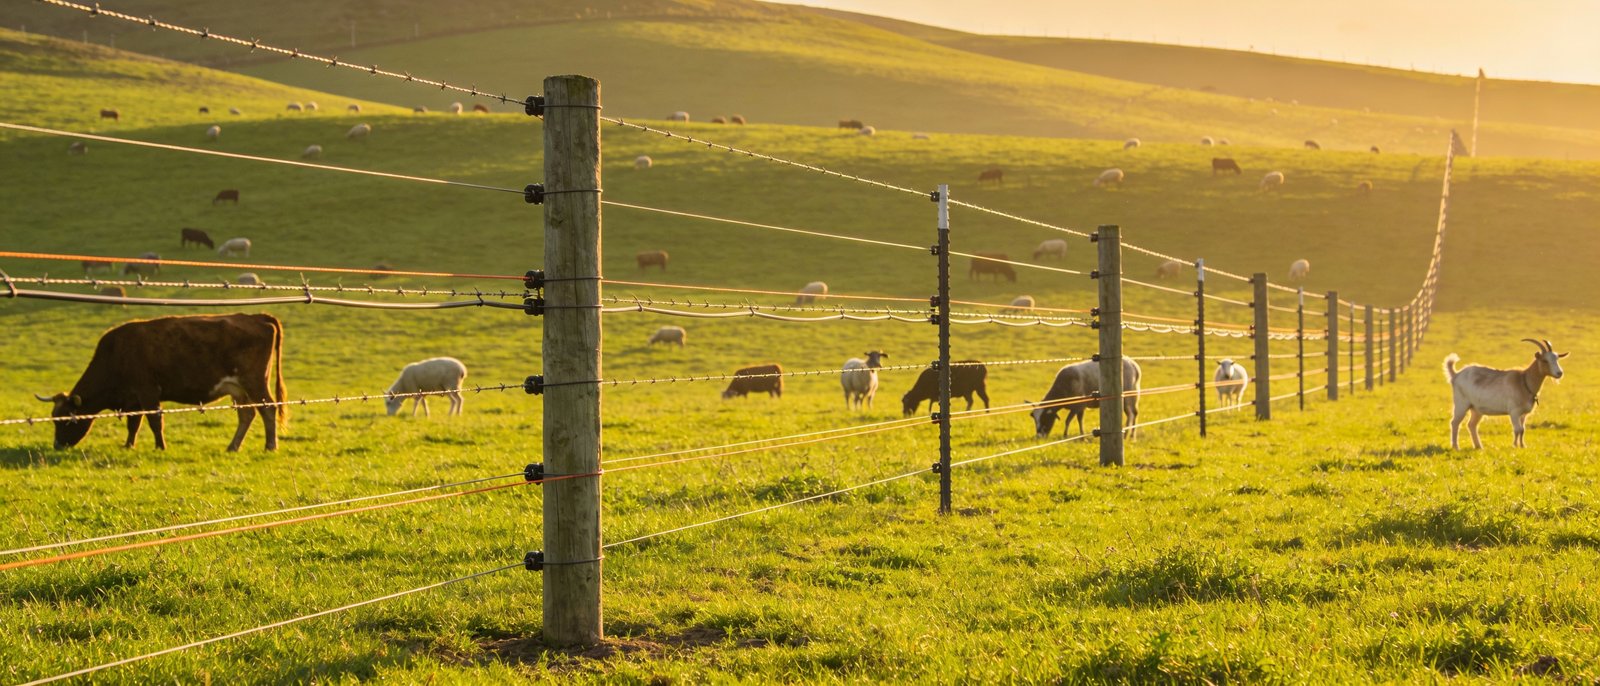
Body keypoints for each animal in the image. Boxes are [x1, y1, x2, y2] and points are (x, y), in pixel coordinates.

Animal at [34, 313, 287, 452]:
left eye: (66, 420)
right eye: (54, 418)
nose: (57, 446)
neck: (117, 353)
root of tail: (255, 317)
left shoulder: (148, 391)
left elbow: (155, 420)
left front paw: (160, 446)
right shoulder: (134, 399)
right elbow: (134, 423)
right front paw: (129, 445)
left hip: (254, 382)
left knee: (268, 409)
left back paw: (270, 446)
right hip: (239, 389)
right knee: (247, 414)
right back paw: (233, 447)